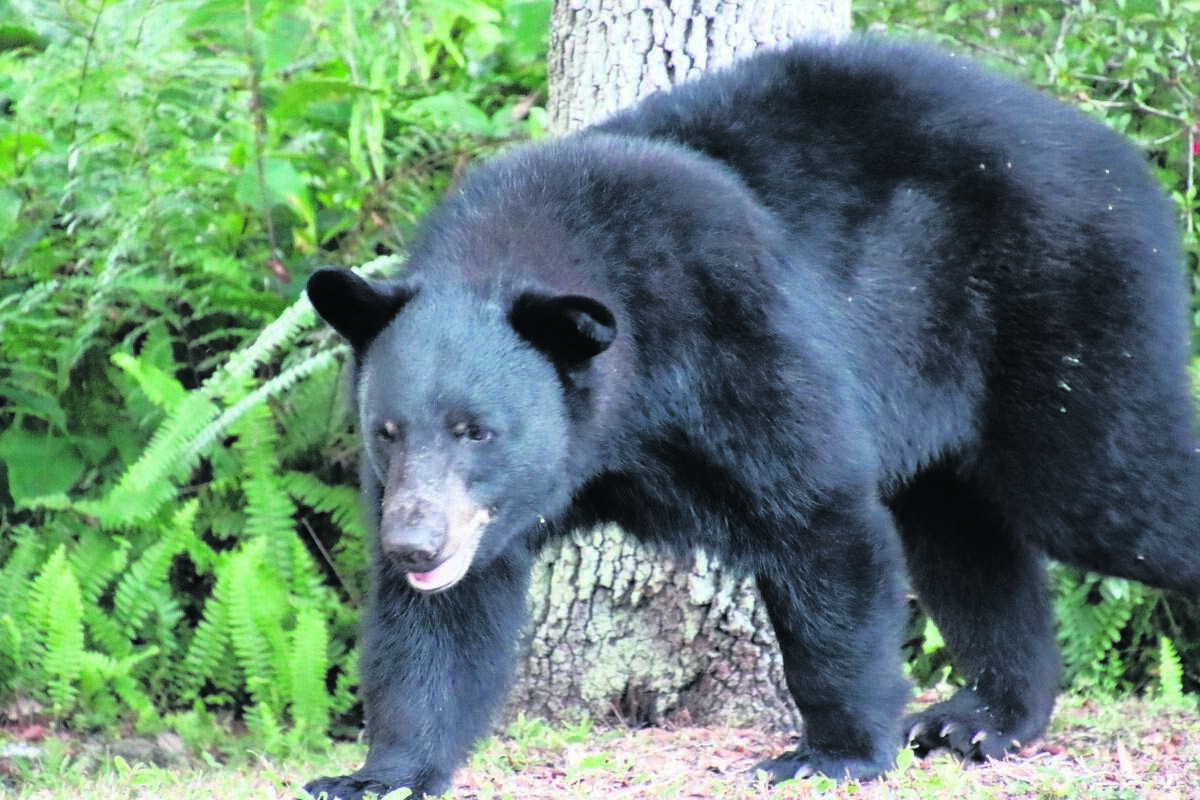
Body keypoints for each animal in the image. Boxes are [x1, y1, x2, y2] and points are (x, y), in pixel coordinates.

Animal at [302, 38, 1200, 799]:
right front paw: (378, 774)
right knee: (965, 540)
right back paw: (977, 719)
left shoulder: (734, 327)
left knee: (1111, 491)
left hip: (1062, 308)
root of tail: (1117, 153)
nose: (413, 544)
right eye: (387, 430)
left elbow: (818, 515)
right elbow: (441, 622)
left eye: (477, 429)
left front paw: (831, 752)